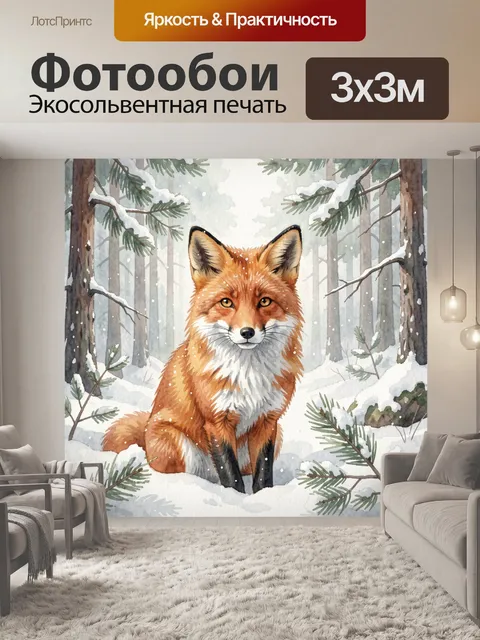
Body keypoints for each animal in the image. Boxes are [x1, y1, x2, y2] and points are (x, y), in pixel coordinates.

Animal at [103, 224, 303, 493]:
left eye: (264, 301)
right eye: (226, 302)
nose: (247, 332)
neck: (248, 375)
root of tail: (145, 431)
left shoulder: (268, 421)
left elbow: (263, 474)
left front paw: (263, 496)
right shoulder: (217, 421)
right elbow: (230, 475)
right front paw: (234, 498)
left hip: (276, 435)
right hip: (175, 441)